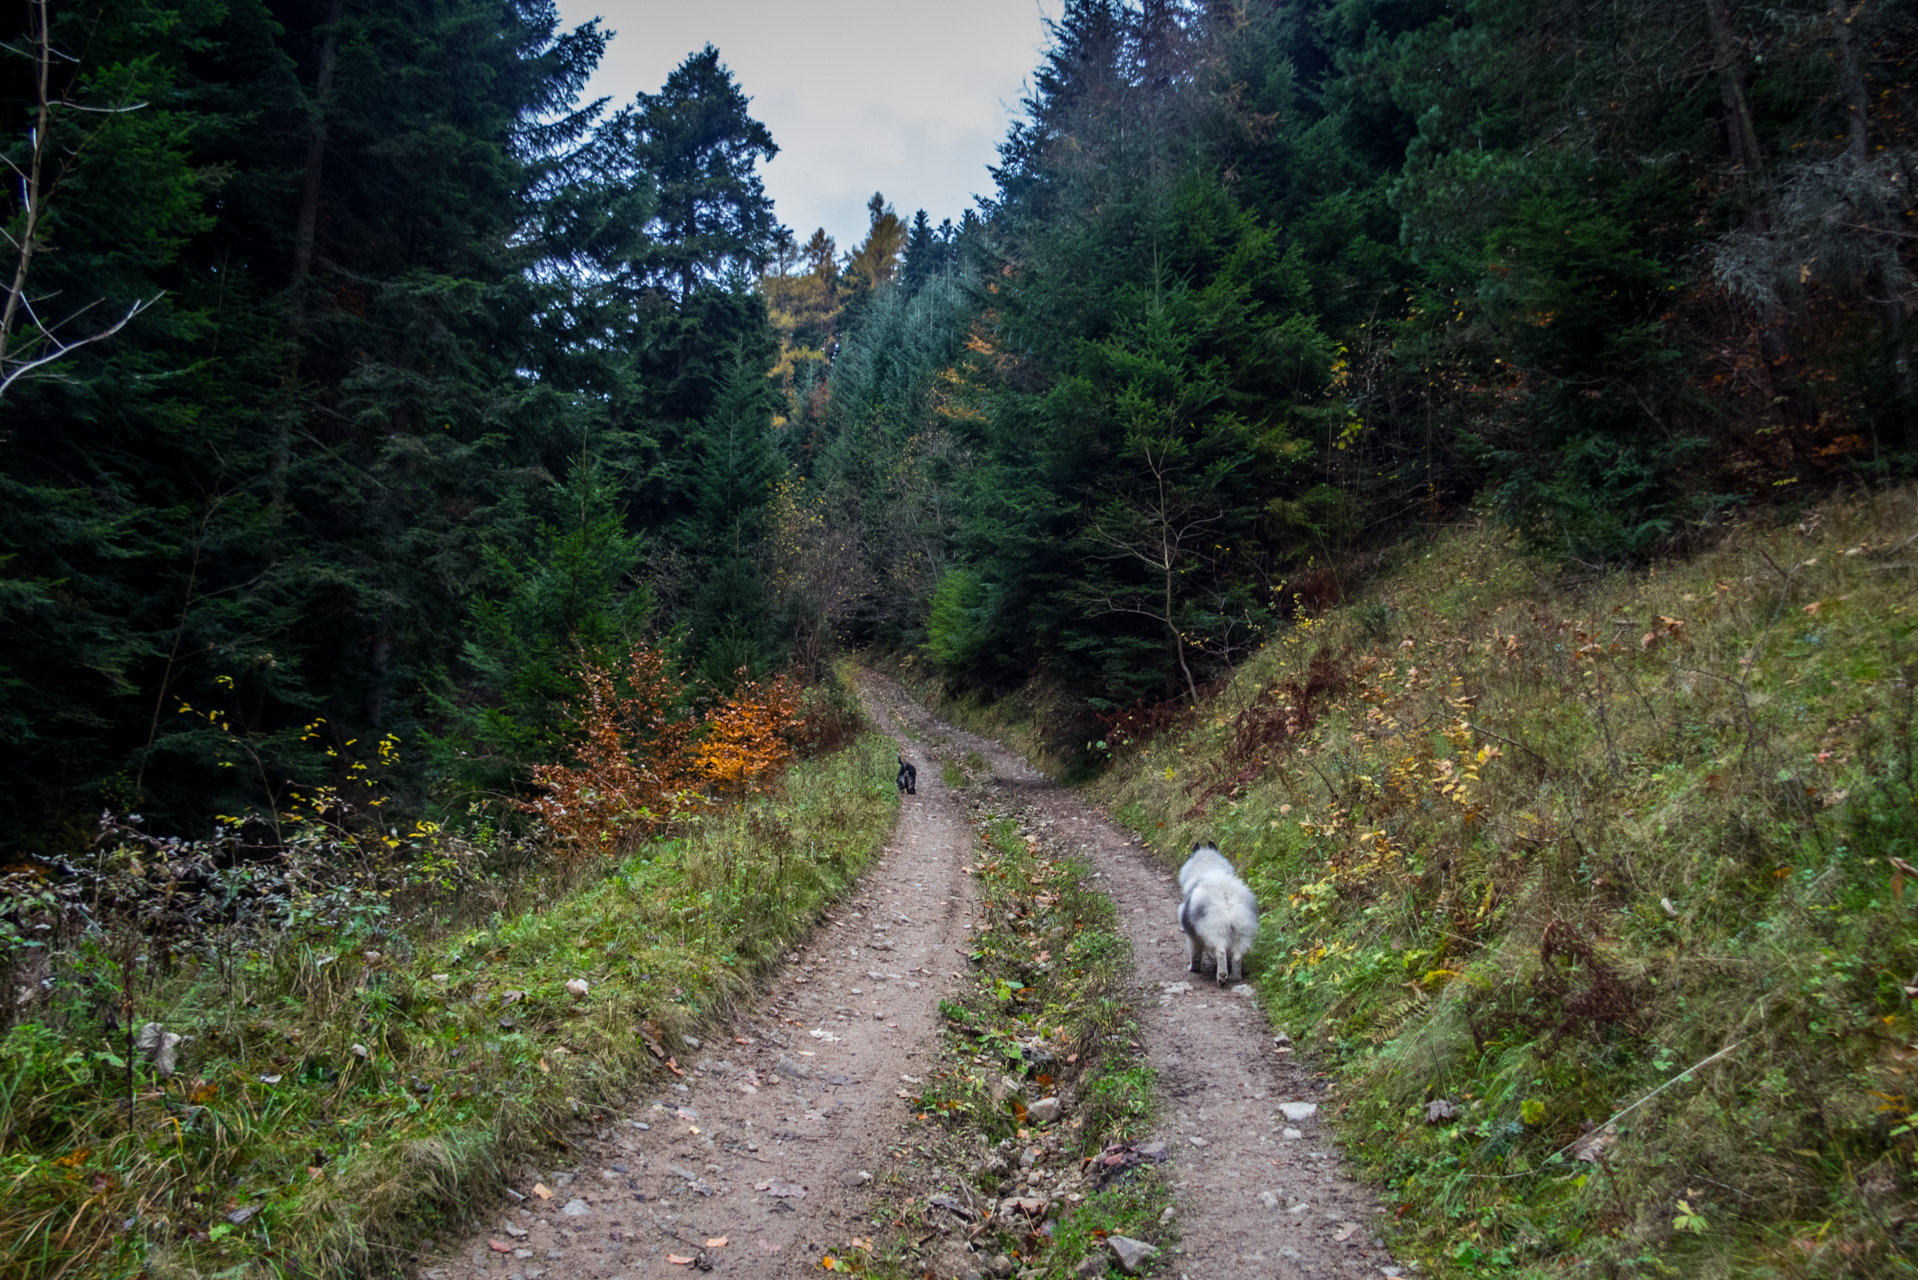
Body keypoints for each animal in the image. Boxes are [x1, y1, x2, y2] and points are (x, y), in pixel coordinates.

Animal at [1173, 844, 1250, 990]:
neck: (1209, 869)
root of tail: (1225, 896)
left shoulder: (1192, 936)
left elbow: (1195, 954)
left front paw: (1193, 968)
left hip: (1214, 932)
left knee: (1221, 952)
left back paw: (1222, 976)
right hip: (1241, 933)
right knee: (1237, 956)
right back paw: (1235, 977)